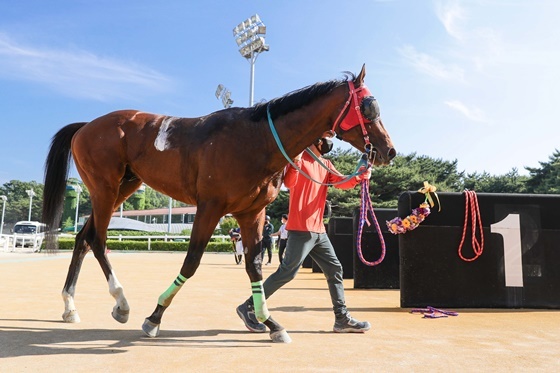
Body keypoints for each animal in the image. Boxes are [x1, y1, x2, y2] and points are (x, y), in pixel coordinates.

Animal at [42, 64, 394, 342]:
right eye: (369, 107)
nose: (388, 150)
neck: (256, 139)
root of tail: (85, 126)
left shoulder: (252, 212)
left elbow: (254, 266)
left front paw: (268, 321)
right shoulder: (209, 207)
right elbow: (191, 261)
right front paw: (155, 316)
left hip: (123, 187)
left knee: (82, 237)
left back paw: (69, 306)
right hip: (104, 188)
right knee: (98, 239)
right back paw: (122, 303)